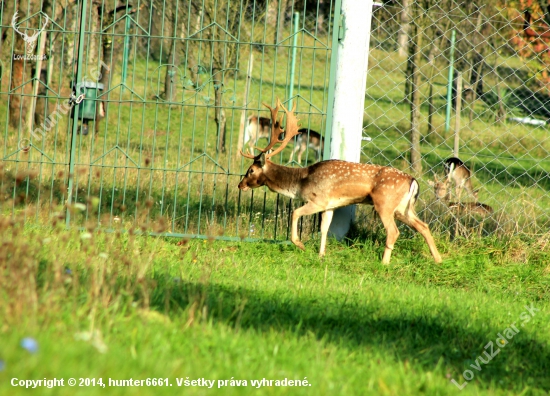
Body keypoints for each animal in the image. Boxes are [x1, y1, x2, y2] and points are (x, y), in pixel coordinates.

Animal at [238, 99, 444, 264]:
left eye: (251, 170)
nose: (240, 185)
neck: (301, 182)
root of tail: (413, 180)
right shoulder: (330, 206)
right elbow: (324, 229)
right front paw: (321, 255)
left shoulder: (318, 200)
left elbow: (295, 213)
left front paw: (300, 245)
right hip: (403, 208)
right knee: (423, 226)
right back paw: (438, 260)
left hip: (385, 202)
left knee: (393, 231)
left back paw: (384, 263)